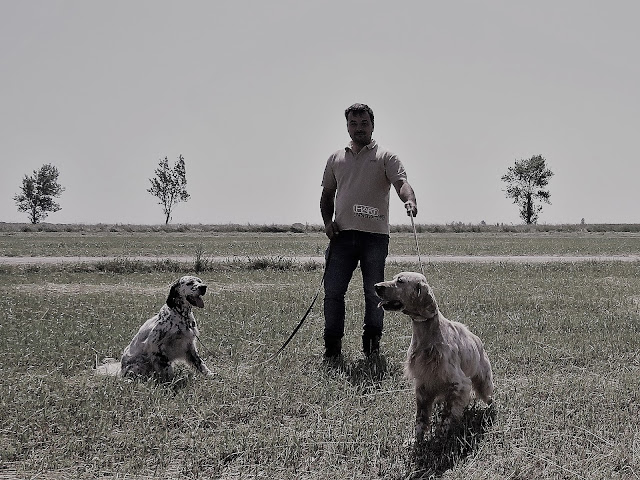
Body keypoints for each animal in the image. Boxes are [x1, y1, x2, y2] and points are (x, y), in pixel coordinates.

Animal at [375, 272, 493, 440]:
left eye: (400, 281)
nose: (376, 286)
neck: (427, 337)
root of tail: (477, 340)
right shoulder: (423, 384)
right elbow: (421, 417)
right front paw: (416, 439)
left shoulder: (458, 383)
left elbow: (447, 414)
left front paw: (440, 435)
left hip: (483, 380)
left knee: (488, 396)